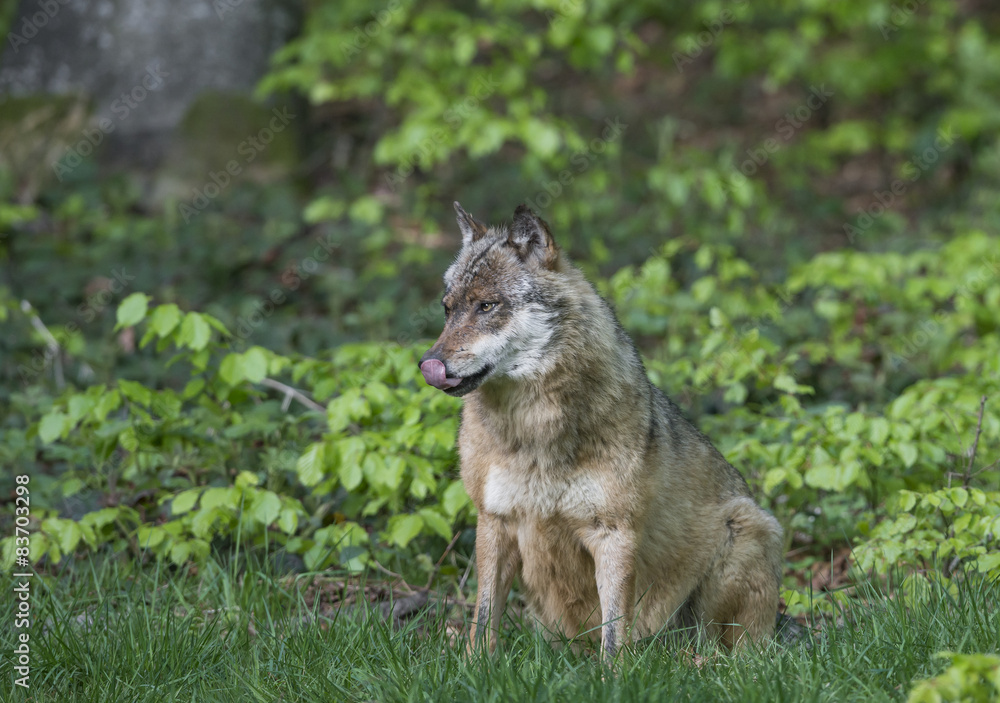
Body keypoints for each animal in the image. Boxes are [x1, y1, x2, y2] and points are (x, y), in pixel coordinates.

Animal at [418, 204, 784, 660]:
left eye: (487, 306)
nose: (428, 364)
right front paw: (476, 666)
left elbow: (614, 630)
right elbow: (483, 620)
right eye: (448, 309)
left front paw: (613, 673)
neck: (534, 431)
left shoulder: (614, 533)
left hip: (744, 529)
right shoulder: (493, 523)